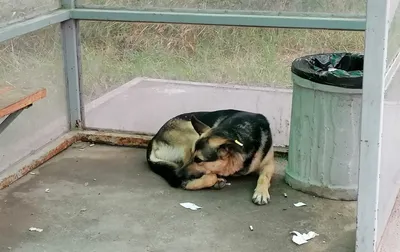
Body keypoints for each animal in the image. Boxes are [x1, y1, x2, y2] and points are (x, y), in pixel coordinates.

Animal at [146, 109, 276, 206]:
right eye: (193, 155)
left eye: (198, 160)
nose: (177, 175)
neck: (238, 132)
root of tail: (154, 139)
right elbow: (211, 176)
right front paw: (191, 184)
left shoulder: (269, 164)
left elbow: (264, 177)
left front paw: (261, 193)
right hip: (191, 135)